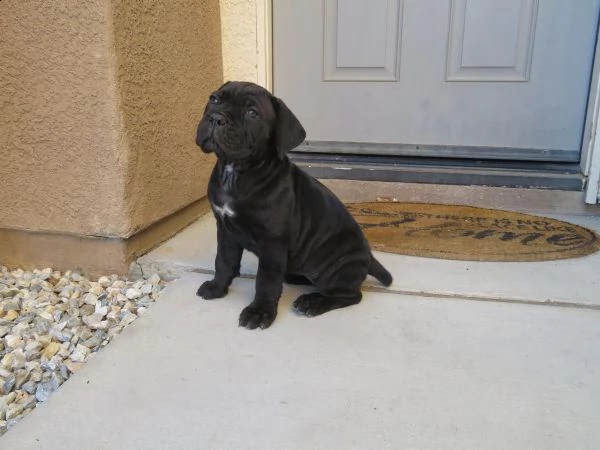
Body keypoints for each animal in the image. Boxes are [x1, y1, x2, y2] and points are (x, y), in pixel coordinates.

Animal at [196, 81, 394, 328]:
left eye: (252, 113)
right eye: (214, 99)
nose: (216, 118)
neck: (235, 172)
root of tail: (368, 256)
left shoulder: (273, 243)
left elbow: (266, 281)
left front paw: (260, 311)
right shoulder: (226, 231)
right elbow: (224, 261)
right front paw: (216, 288)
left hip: (335, 267)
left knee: (350, 295)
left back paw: (312, 302)